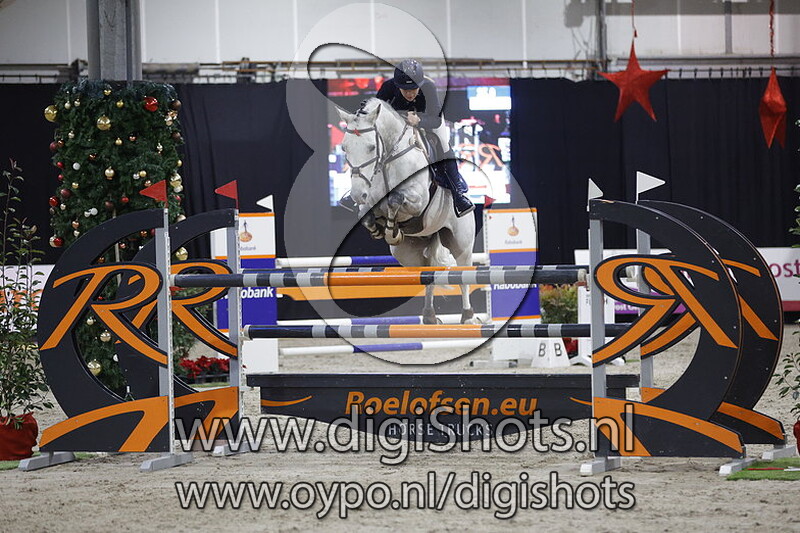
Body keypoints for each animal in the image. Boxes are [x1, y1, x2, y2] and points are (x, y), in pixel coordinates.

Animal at [335, 98, 480, 325]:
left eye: (371, 147)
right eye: (344, 148)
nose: (358, 194)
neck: (387, 159)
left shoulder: (418, 199)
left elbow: (395, 199)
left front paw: (391, 231)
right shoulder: (370, 201)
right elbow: (365, 214)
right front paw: (383, 230)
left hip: (461, 243)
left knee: (463, 276)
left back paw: (467, 317)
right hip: (408, 253)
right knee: (426, 275)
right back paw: (429, 317)